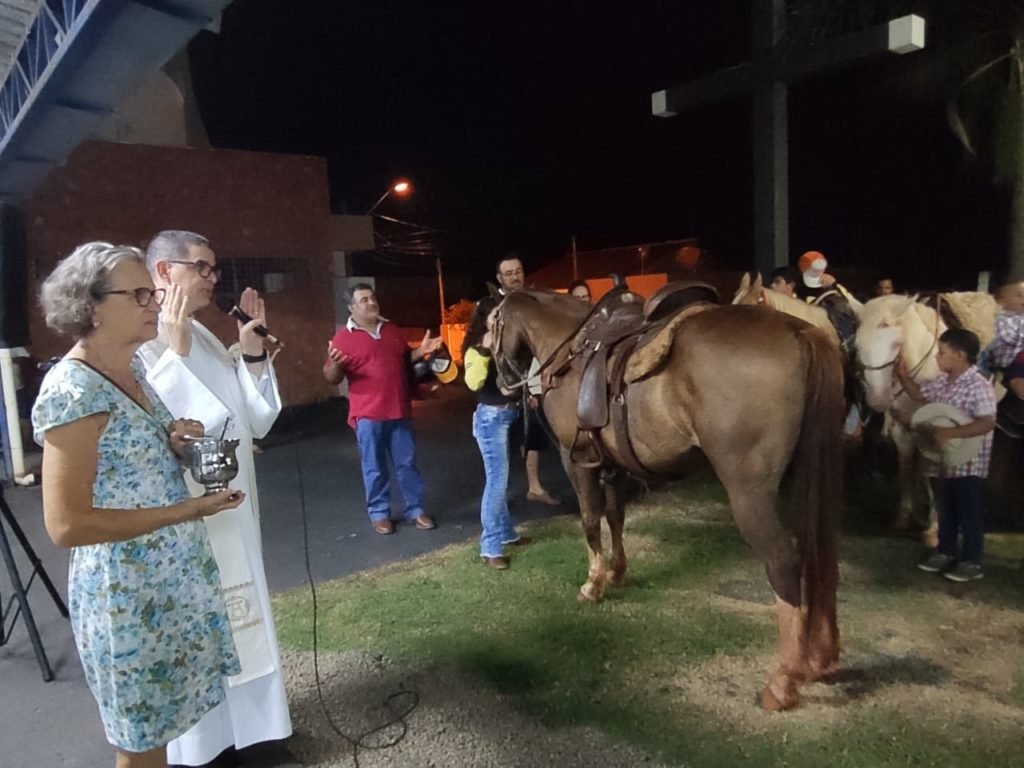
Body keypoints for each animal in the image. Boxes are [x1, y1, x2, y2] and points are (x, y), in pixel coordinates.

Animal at [492, 289, 845, 711]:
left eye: (492, 323)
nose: (500, 380)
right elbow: (615, 515)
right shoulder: (611, 463)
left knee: (784, 562)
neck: (567, 349)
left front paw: (593, 584)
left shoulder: (574, 457)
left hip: (749, 492)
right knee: (819, 551)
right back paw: (821, 659)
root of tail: (800, 332)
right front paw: (617, 572)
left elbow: (591, 519)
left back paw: (783, 682)